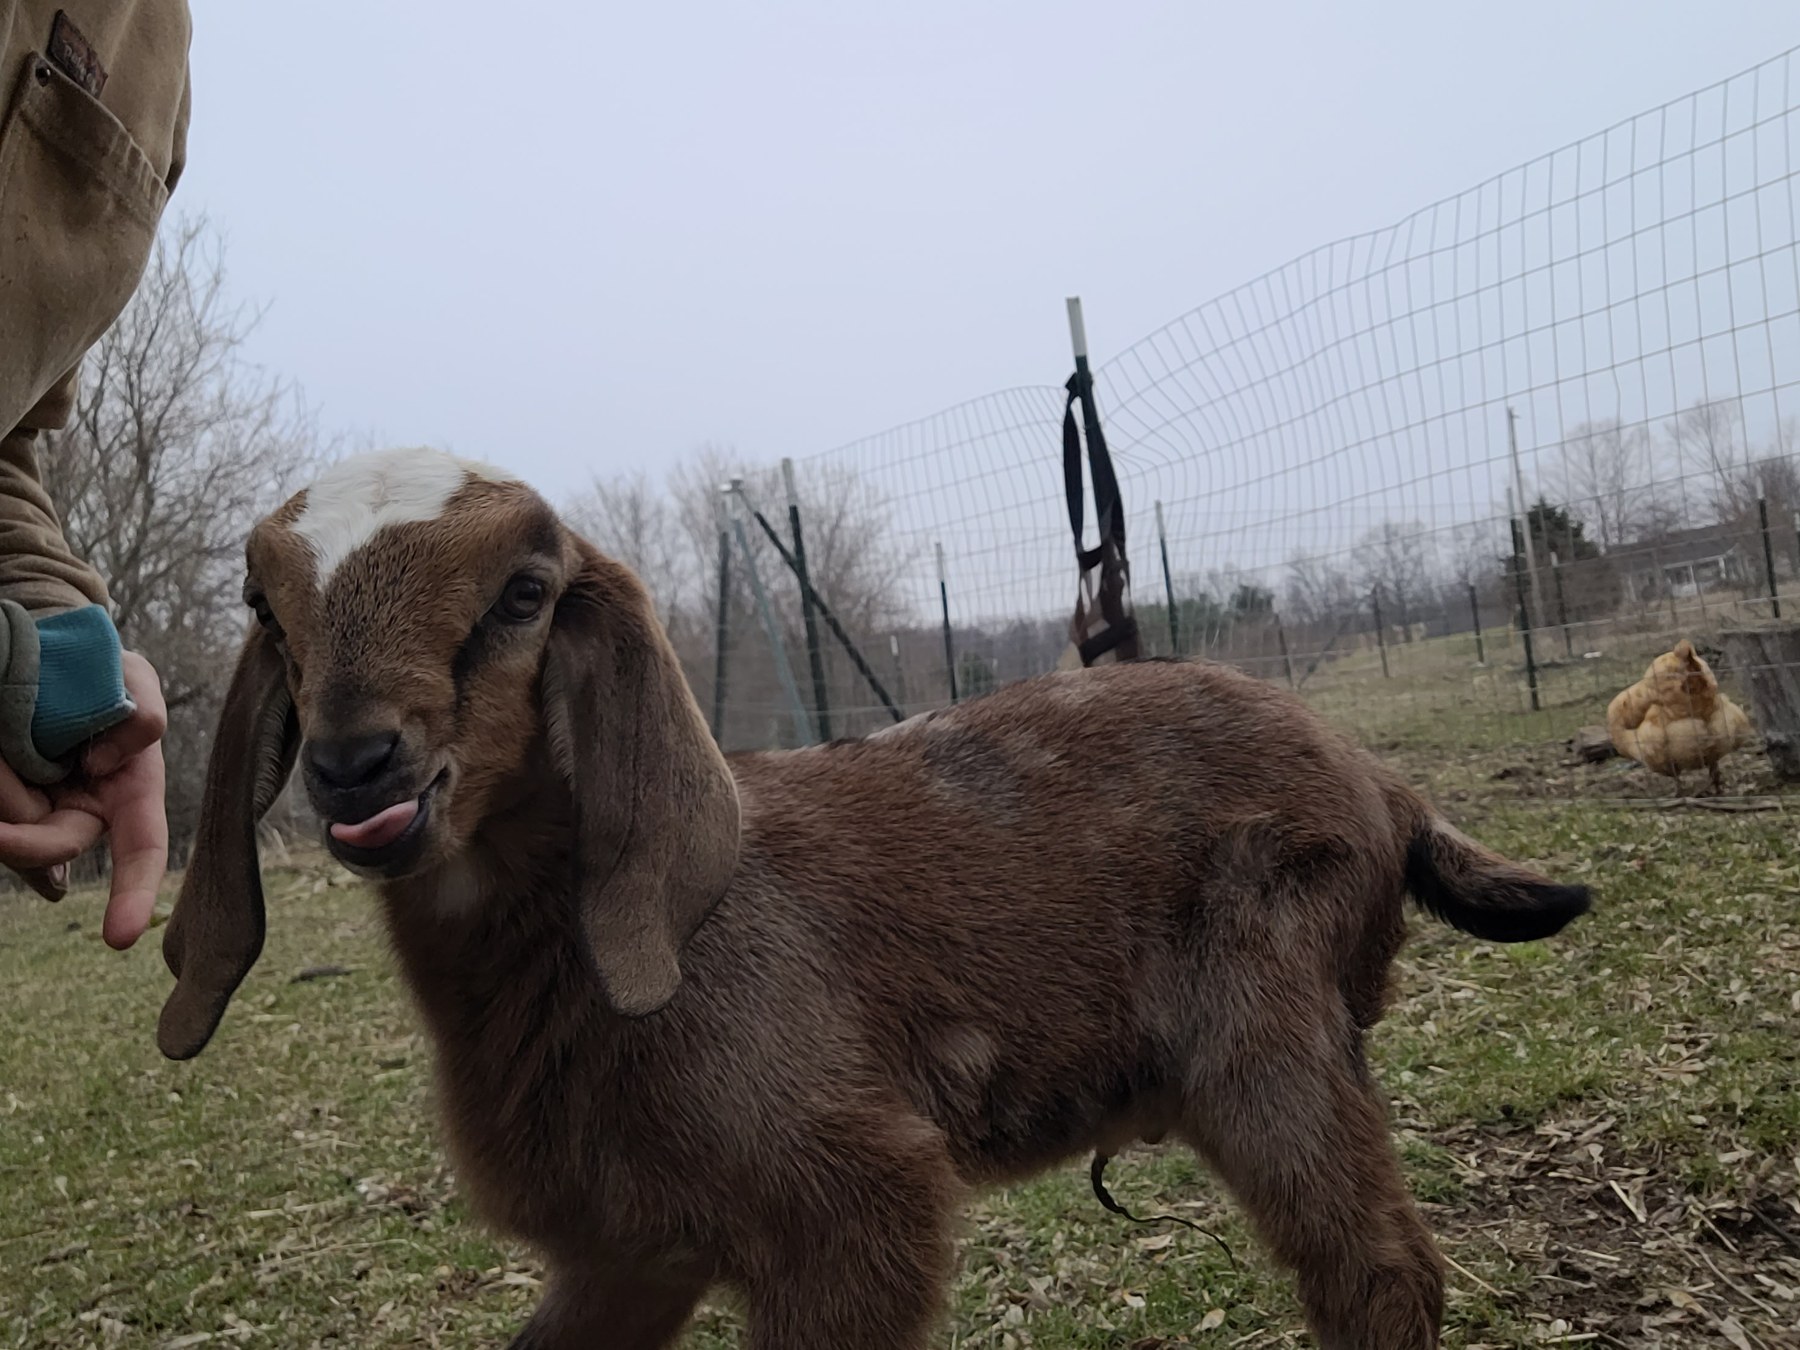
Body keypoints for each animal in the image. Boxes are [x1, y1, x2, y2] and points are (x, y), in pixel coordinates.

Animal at [158, 446, 1591, 1350]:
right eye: (265, 609)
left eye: (522, 593)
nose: (358, 770)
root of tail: (1381, 781)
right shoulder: (632, 1247)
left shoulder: (852, 1204)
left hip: (1271, 1032)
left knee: (1382, 1279)